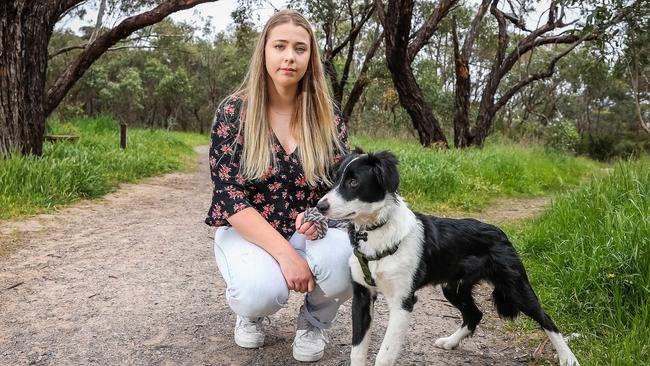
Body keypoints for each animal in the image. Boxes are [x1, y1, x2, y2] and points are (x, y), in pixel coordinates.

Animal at [314, 149, 576, 366]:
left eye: (353, 182)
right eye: (335, 180)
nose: (319, 206)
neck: (376, 232)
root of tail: (499, 231)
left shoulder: (402, 302)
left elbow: (384, 354)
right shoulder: (362, 296)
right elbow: (357, 351)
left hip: (516, 286)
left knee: (546, 318)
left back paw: (567, 357)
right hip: (453, 288)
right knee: (475, 314)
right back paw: (451, 341)